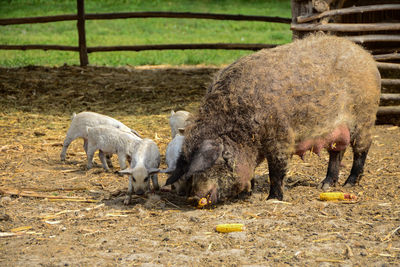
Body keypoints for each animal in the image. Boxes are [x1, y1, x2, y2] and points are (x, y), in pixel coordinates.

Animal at [166, 33, 382, 205]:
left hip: (365, 116)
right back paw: (325, 185)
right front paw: (247, 194)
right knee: (337, 152)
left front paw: (273, 198)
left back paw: (350, 183)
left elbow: (276, 171)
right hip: (336, 129)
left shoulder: (280, 137)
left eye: (215, 162)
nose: (195, 197)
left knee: (362, 149)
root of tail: (364, 54)